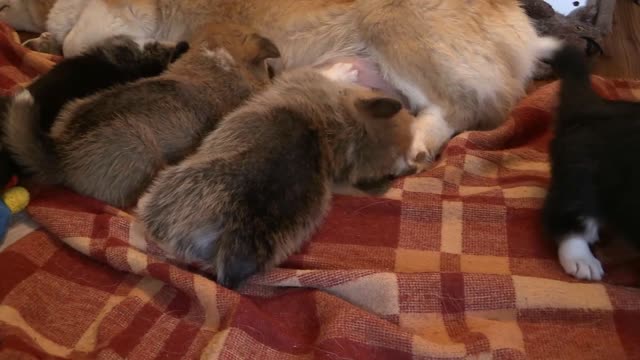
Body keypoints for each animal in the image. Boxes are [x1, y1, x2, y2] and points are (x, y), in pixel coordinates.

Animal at [0, 0, 560, 171]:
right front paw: (45, 38)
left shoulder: (118, 14)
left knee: (463, 108)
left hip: (398, 31)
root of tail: (523, 30)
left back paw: (419, 144)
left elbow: (78, 38)